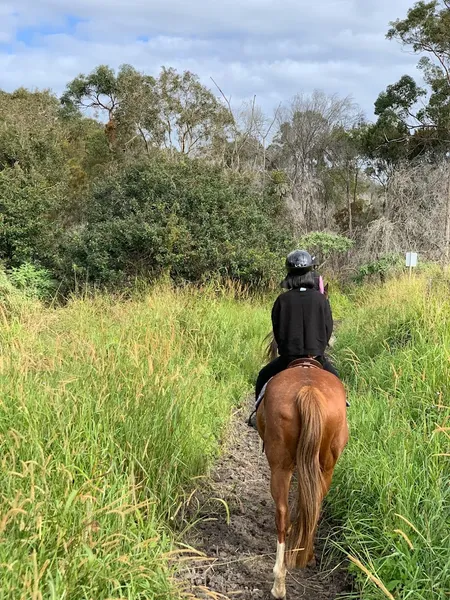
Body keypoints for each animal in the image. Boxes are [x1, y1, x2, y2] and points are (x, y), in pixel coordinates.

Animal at [256, 330, 348, 596]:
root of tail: (309, 391)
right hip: (326, 466)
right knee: (314, 506)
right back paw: (302, 556)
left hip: (281, 466)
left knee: (282, 513)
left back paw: (280, 581)